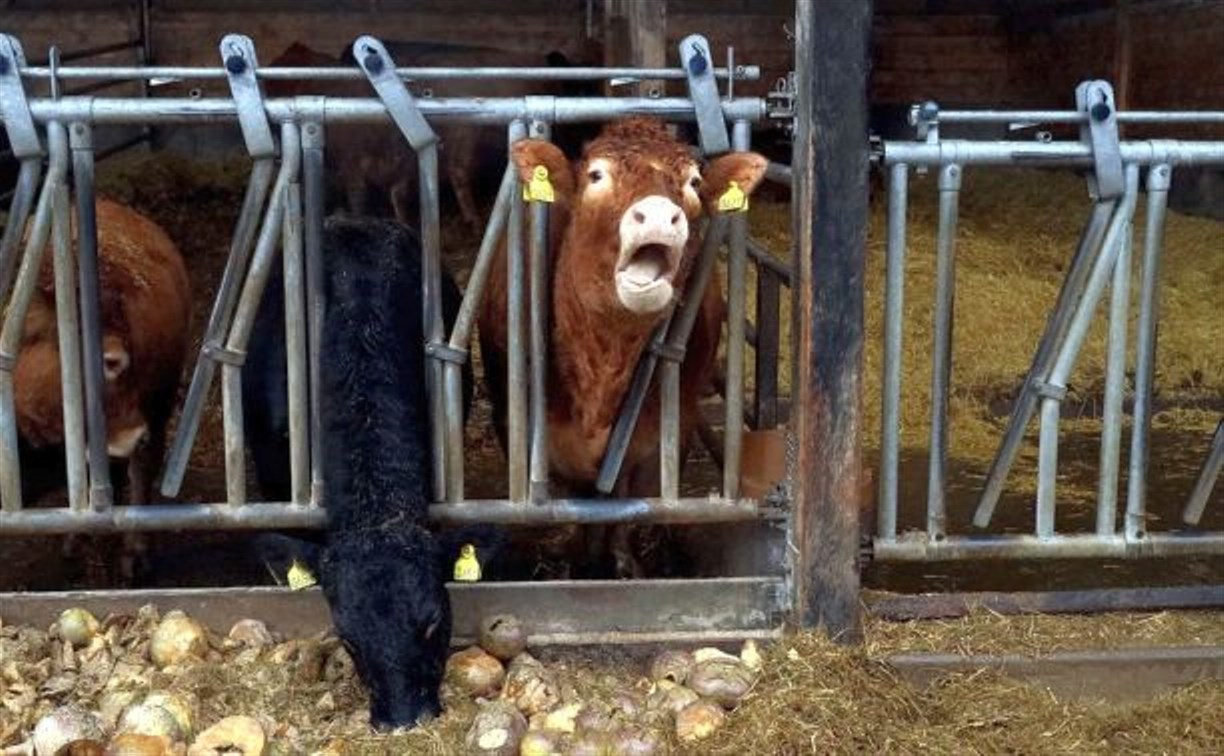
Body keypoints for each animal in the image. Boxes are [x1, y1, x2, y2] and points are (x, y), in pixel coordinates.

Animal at [477, 119, 763, 577]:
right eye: (596, 175)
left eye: (694, 182)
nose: (661, 215)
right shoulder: (520, 429)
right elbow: (569, 506)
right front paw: (578, 563)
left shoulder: (666, 433)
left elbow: (629, 505)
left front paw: (624, 563)